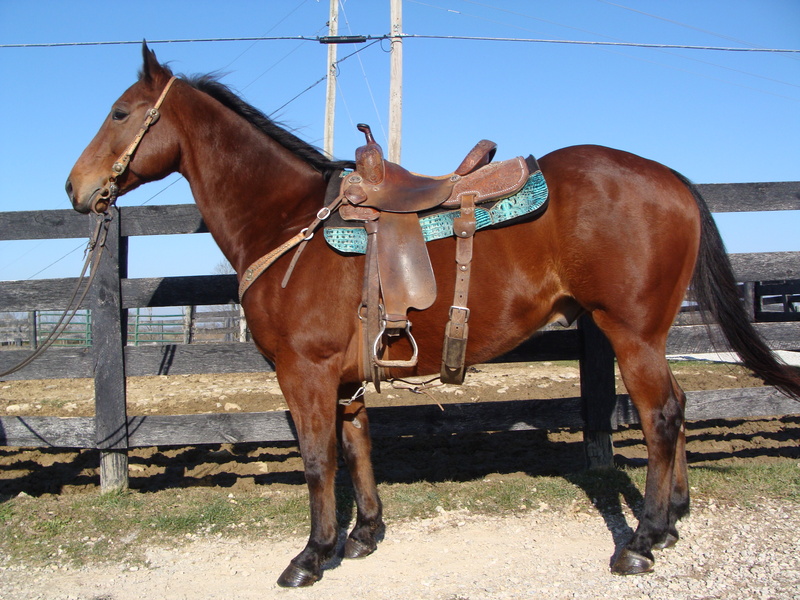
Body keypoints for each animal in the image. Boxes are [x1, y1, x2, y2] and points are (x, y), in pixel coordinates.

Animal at [66, 43, 800, 587]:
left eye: (121, 111)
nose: (75, 188)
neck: (289, 223)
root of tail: (673, 179)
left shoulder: (304, 372)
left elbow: (316, 459)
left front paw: (312, 555)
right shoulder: (343, 376)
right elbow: (356, 446)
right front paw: (363, 535)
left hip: (632, 332)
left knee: (661, 416)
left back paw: (642, 539)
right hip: (648, 335)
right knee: (676, 408)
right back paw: (672, 518)